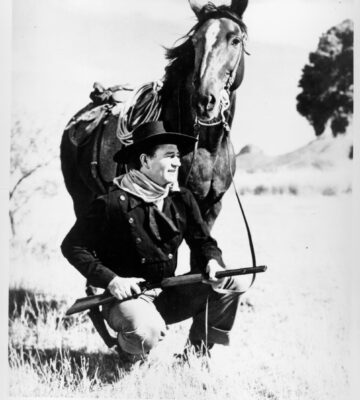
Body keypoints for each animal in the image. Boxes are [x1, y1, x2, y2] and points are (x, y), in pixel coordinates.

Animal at [60, 0, 249, 231]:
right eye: (195, 42)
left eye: (235, 40)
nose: (204, 100)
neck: (207, 149)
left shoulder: (212, 209)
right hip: (80, 198)